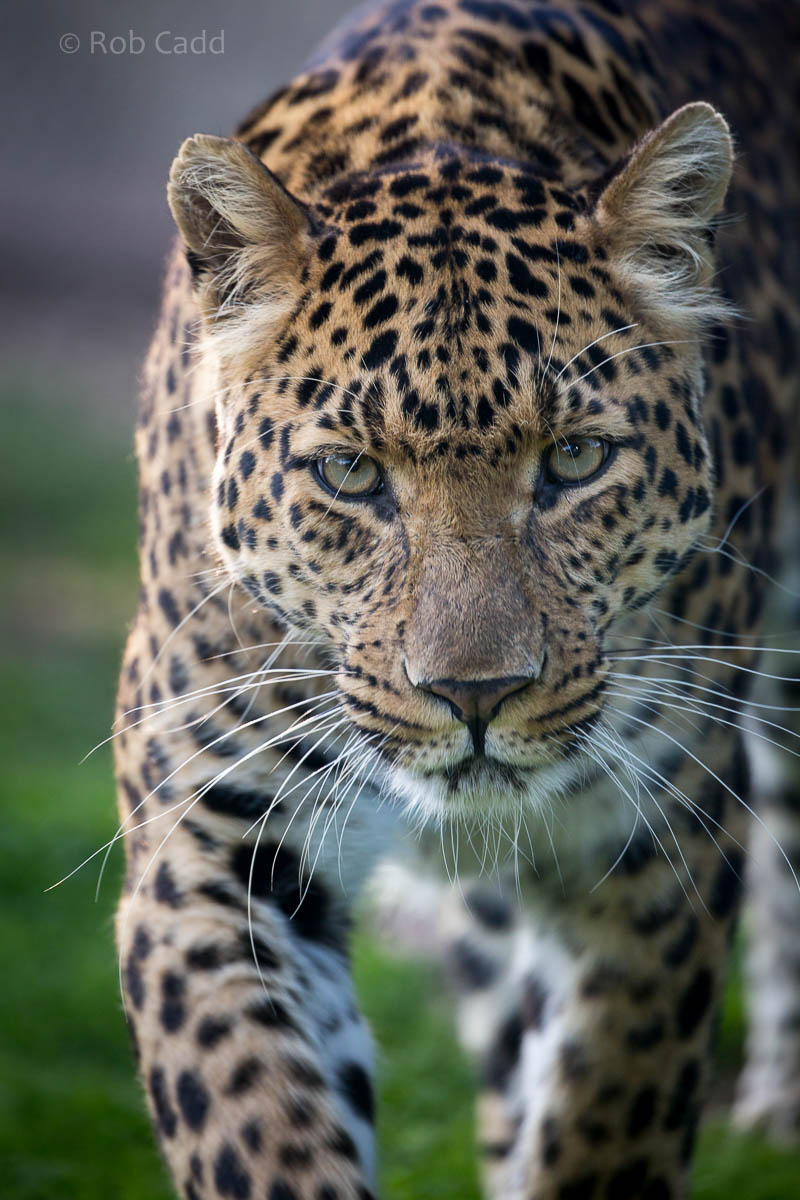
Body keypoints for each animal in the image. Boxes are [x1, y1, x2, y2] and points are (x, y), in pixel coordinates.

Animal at [113, 1, 800, 1197]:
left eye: (574, 459)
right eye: (350, 474)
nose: (475, 697)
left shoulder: (653, 842)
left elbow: (604, 1118)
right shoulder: (204, 845)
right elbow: (257, 1131)